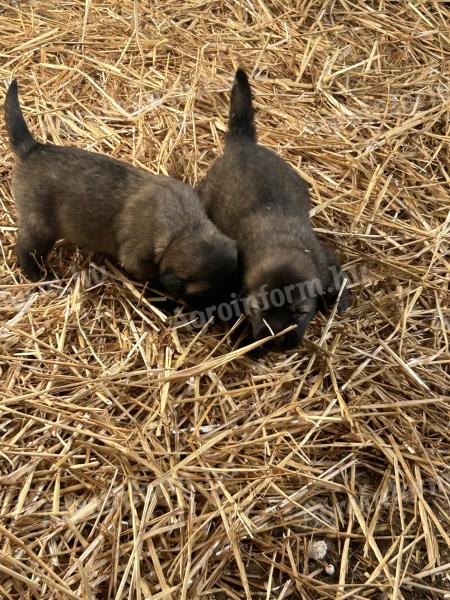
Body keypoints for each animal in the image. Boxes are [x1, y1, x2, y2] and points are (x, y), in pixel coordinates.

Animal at [5, 79, 237, 308]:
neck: (182, 230)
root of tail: (32, 149)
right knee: (24, 252)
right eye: (205, 295)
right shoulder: (136, 259)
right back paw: (40, 278)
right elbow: (154, 279)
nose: (226, 309)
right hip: (40, 228)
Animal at [197, 69, 348, 352]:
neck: (281, 244)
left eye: (300, 313)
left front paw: (341, 300)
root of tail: (243, 143)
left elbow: (336, 276)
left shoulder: (323, 260)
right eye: (259, 310)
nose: (276, 341)